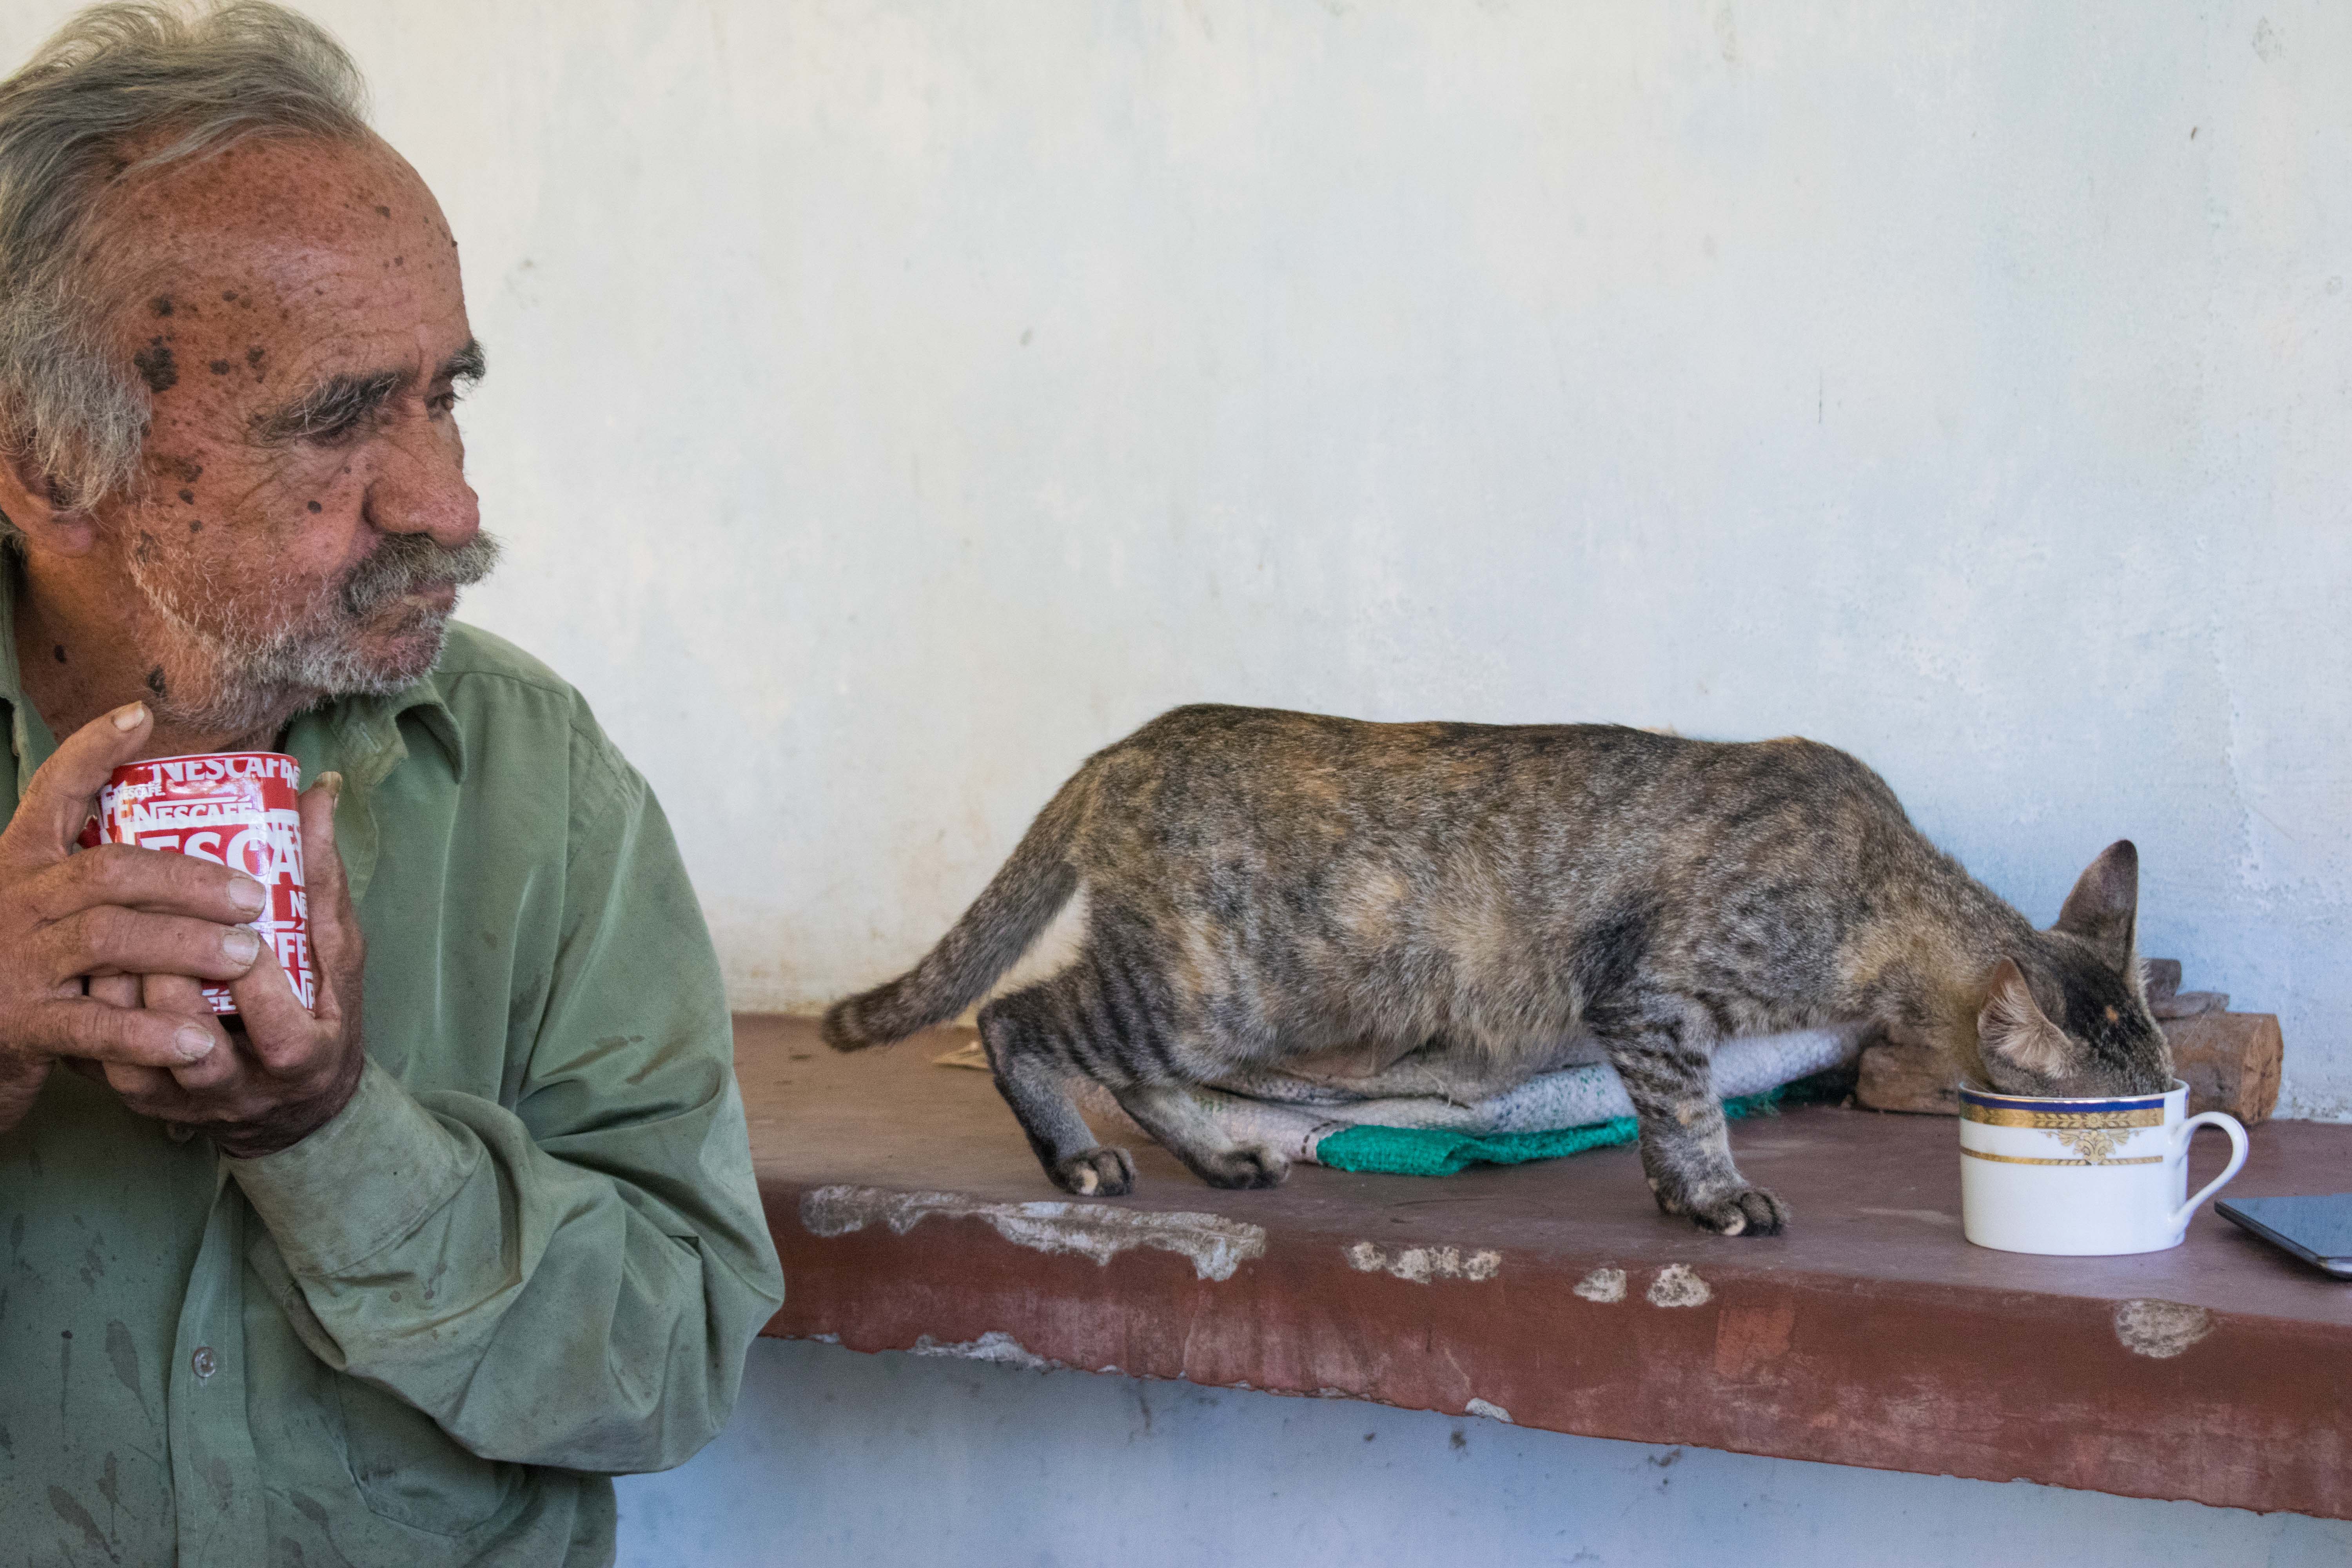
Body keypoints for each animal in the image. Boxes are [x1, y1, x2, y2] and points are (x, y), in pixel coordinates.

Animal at [824, 705, 2170, 1235]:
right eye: (2109, 1119)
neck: (1883, 888)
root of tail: (1122, 745)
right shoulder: (1650, 994)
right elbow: (1690, 1111)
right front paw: (1716, 1195)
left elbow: (1665, 1119)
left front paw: (1679, 1193)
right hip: (1203, 987)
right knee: (1016, 1017)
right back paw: (1075, 1158)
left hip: (1222, 1003)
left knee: (1140, 1072)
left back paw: (1219, 1157)